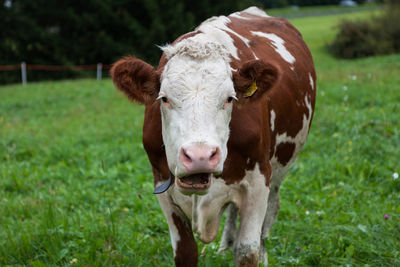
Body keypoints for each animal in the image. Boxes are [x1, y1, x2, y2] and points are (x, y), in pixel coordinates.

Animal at [110, 6, 316, 267]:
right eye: (164, 98)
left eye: (229, 98)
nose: (200, 156)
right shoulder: (163, 188)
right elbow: (186, 252)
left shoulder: (259, 181)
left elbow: (247, 251)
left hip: (278, 171)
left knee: (268, 218)